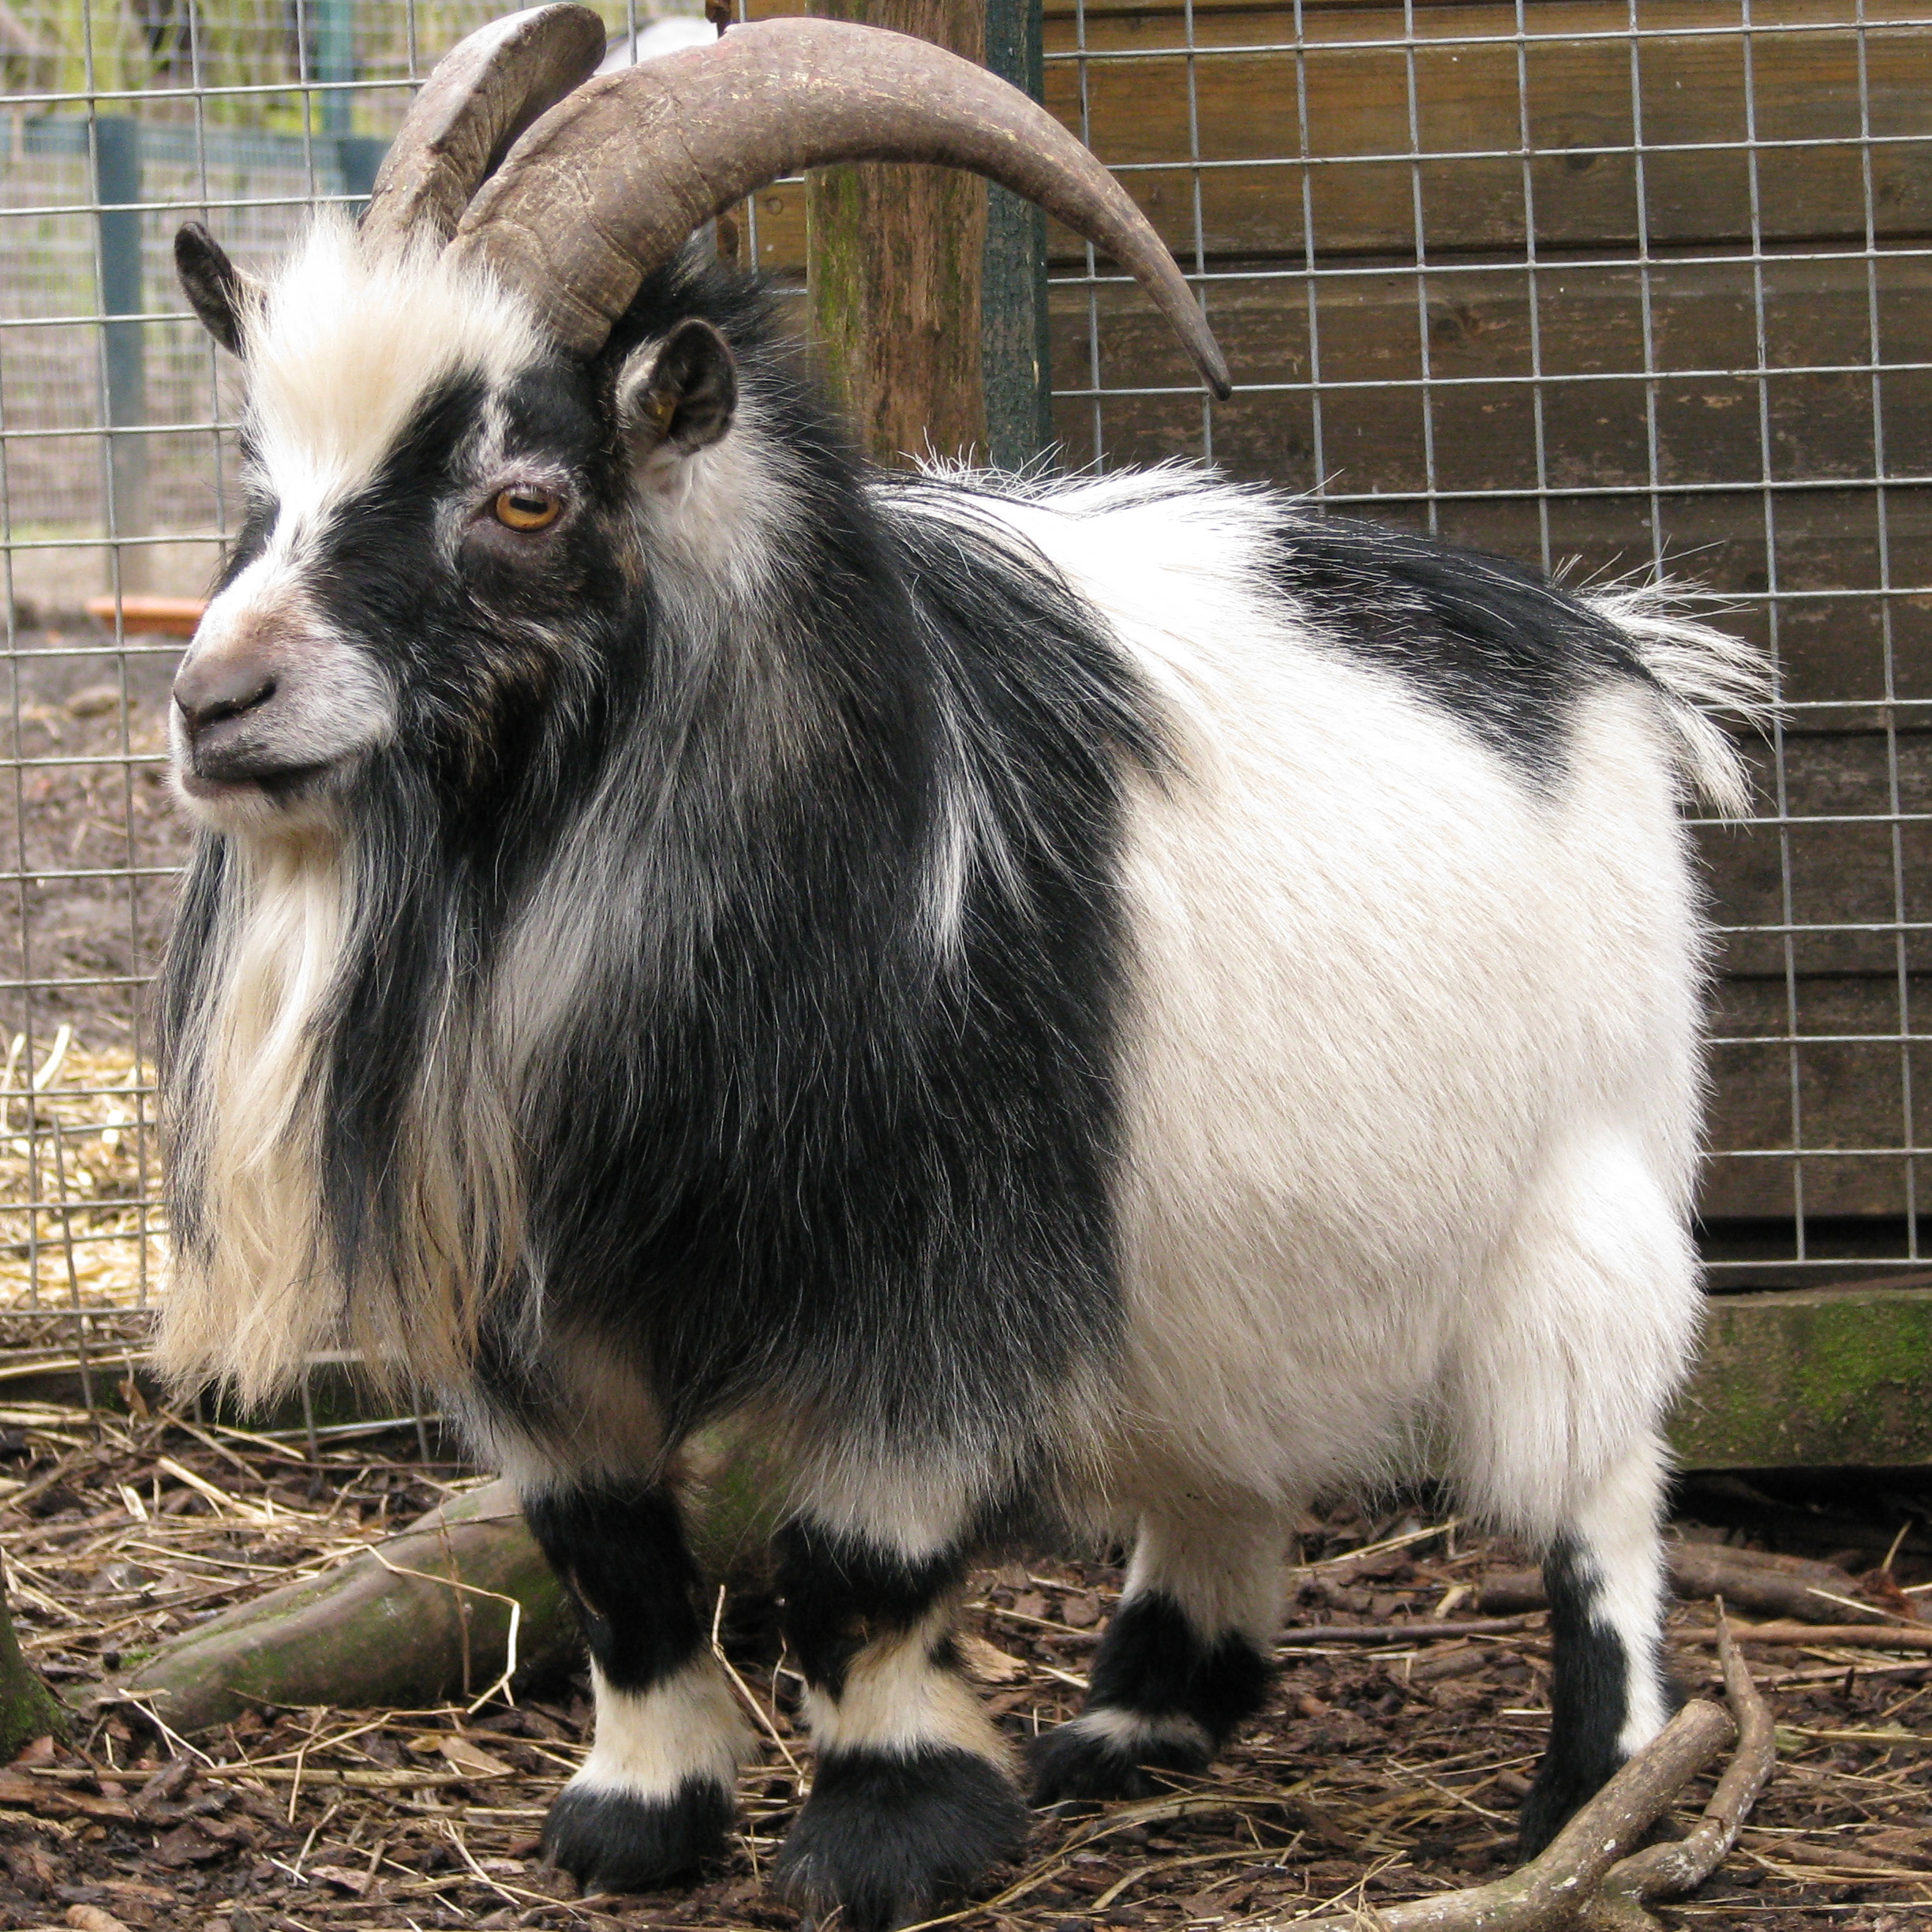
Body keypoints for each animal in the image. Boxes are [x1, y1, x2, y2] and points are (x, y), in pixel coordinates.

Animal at [156, 9, 1768, 1928]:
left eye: (526, 497)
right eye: (259, 480)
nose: (215, 700)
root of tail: (1602, 649)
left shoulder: (937, 1262)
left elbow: (858, 1555)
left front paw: (886, 1832)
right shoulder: (539, 1302)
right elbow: (612, 1556)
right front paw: (637, 1816)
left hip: (1582, 1183)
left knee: (1602, 1477)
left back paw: (1597, 1784)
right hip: (1208, 1252)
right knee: (1224, 1459)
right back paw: (1139, 1722)